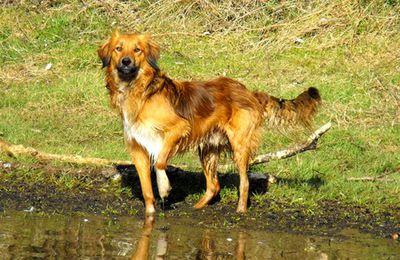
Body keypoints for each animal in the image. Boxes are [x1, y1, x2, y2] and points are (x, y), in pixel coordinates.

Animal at [98, 31, 320, 215]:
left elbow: (160, 161)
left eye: (137, 50)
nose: (126, 61)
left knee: (244, 182)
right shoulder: (138, 148)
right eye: (119, 48)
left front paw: (164, 187)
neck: (138, 92)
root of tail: (249, 91)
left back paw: (240, 210)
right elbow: (146, 190)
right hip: (207, 149)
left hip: (239, 146)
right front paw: (150, 214)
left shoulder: (178, 129)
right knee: (214, 185)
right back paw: (198, 207)